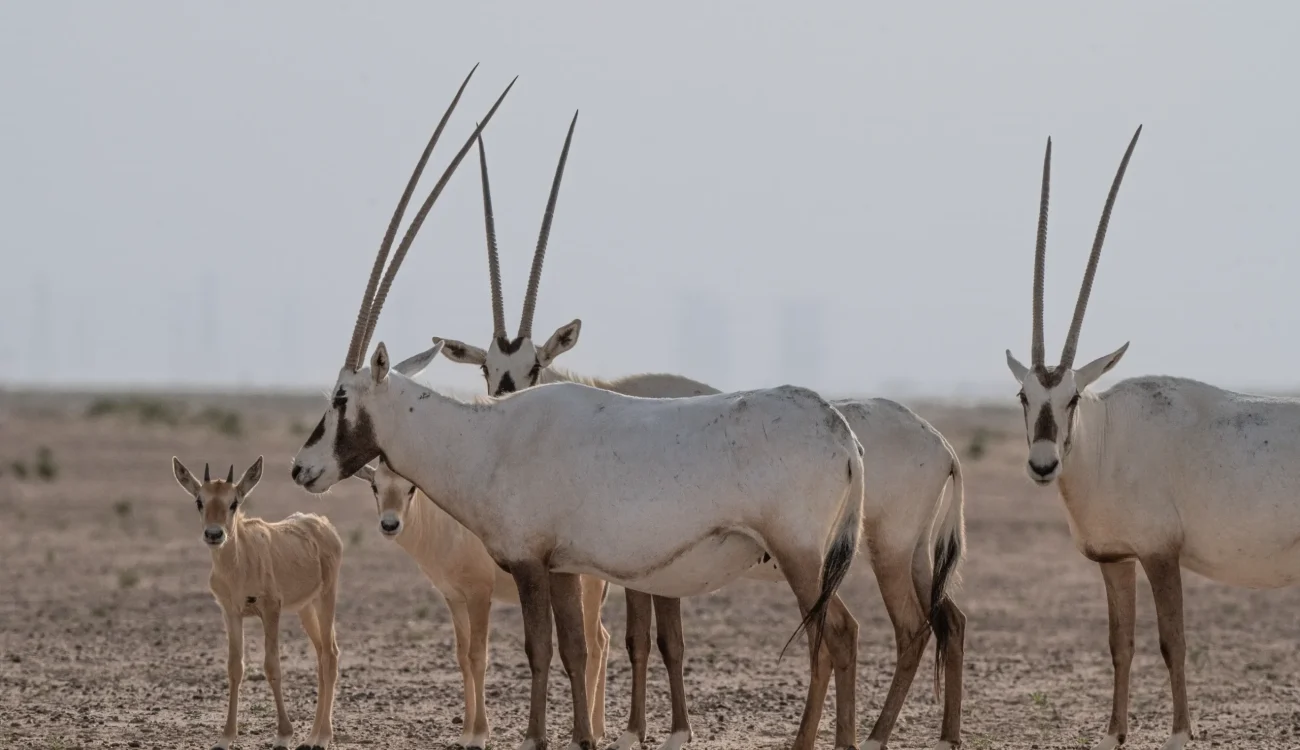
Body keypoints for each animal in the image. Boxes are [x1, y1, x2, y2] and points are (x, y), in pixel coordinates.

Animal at [172, 452, 345, 748]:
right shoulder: (231, 612)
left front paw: (283, 735)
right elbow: (235, 667)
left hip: (326, 597)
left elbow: (272, 666)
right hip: (305, 608)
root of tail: (322, 526)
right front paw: (225, 737)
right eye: (199, 501)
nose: (214, 534)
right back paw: (311, 737)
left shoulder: (270, 610)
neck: (240, 562)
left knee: (330, 656)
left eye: (234, 502)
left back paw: (322, 737)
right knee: (322, 655)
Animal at [351, 457, 613, 748]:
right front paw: (465, 733)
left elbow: (477, 656)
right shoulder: (454, 599)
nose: (389, 525)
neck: (444, 527)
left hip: (588, 591)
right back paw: (598, 729)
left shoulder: (479, 596)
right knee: (603, 639)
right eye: (375, 486)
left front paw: (478, 734)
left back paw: (591, 732)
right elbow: (462, 657)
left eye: (411, 488)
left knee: (595, 644)